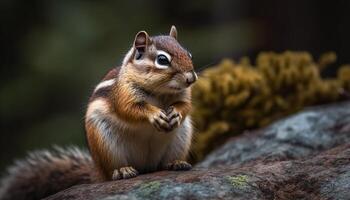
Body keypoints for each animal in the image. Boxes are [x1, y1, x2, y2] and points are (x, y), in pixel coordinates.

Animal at [0, 25, 197, 200]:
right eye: (162, 60)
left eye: (188, 54)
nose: (191, 78)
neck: (160, 92)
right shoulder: (123, 94)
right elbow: (129, 109)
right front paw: (154, 114)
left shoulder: (183, 96)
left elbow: (186, 105)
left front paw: (175, 113)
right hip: (105, 143)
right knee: (113, 173)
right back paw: (122, 170)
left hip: (181, 137)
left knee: (164, 163)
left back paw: (176, 163)